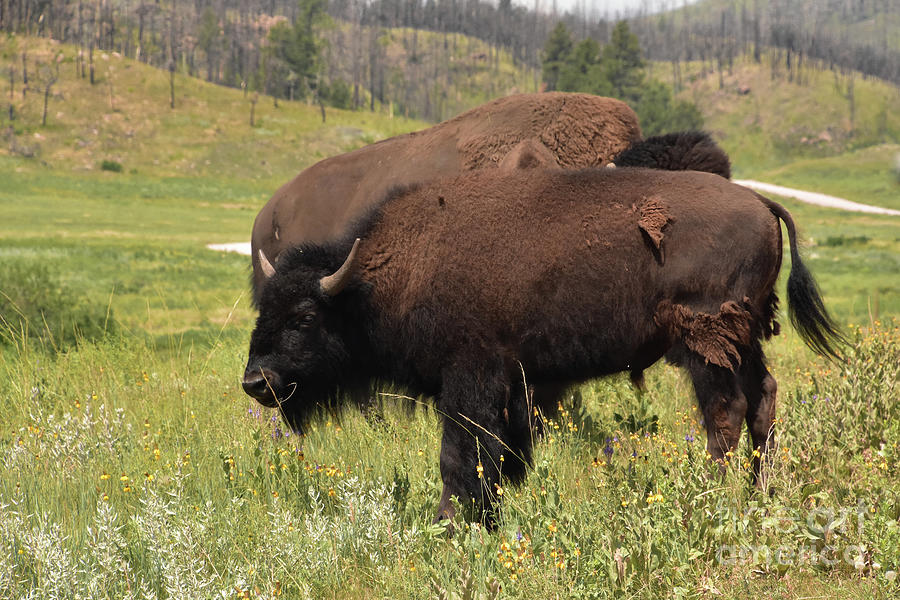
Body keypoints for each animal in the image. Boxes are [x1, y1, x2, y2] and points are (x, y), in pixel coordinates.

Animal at [241, 166, 844, 524]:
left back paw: (711, 498)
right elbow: (505, 455)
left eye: (303, 318)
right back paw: (760, 494)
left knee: (726, 412)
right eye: (262, 311)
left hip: (705, 344)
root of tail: (763, 204)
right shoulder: (515, 383)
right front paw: (494, 512)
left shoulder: (471, 376)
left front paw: (450, 522)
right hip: (744, 340)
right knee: (763, 397)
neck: (372, 282)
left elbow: (461, 453)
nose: (256, 381)